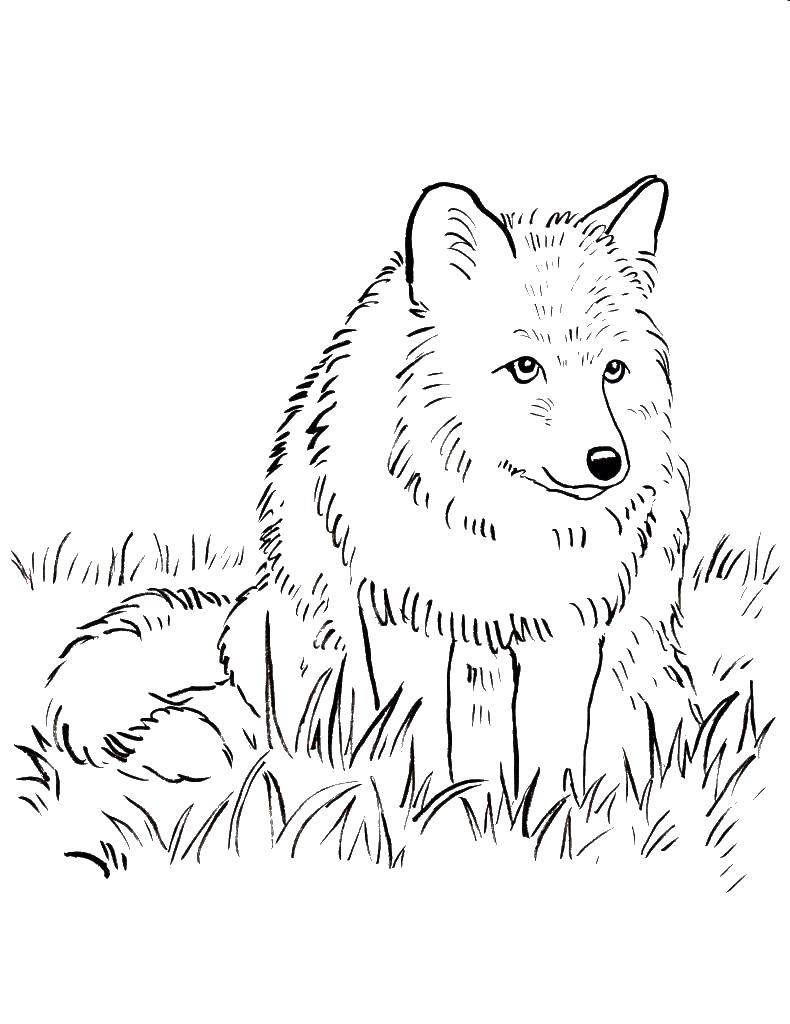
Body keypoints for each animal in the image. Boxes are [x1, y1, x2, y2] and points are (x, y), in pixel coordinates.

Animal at [33, 175, 694, 830]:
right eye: (525, 368)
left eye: (614, 370)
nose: (607, 463)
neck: (493, 524)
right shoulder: (401, 615)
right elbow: (420, 736)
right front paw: (426, 814)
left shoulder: (568, 629)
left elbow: (551, 752)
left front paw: (546, 821)